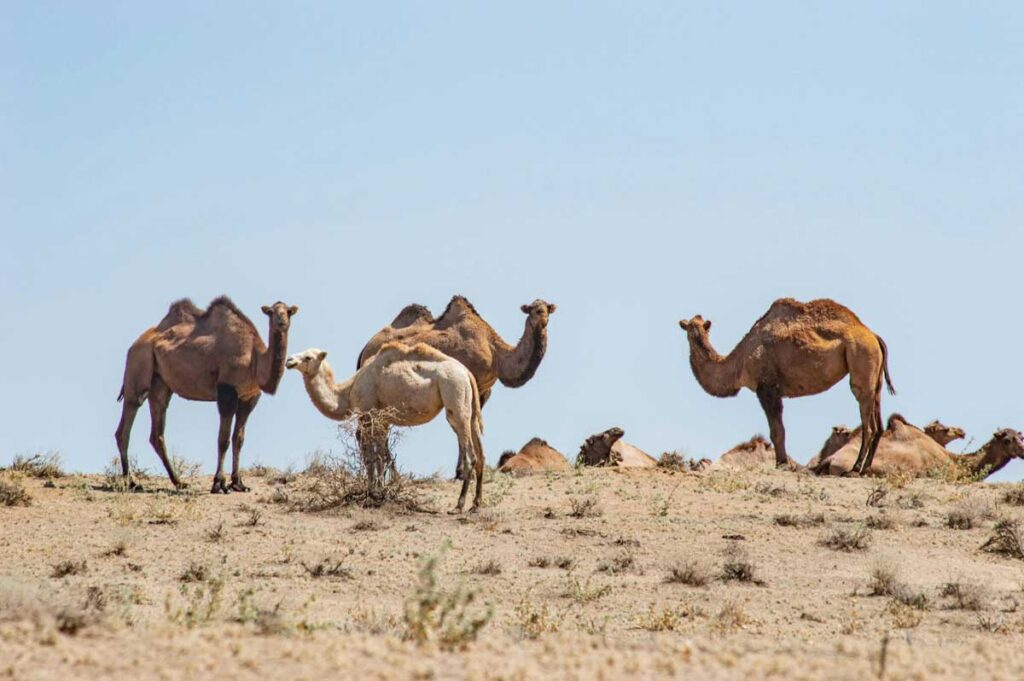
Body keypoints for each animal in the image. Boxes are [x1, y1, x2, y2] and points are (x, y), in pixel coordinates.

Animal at [115, 296, 296, 493]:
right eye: (271, 312)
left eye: (288, 312)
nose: (281, 321)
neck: (254, 358)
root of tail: (134, 344)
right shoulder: (226, 390)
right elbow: (223, 440)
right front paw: (219, 483)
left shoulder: (249, 397)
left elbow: (238, 439)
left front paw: (238, 483)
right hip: (138, 365)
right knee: (127, 421)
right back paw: (132, 482)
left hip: (160, 384)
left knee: (157, 429)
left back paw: (178, 482)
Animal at [285, 343, 485, 512]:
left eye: (308, 357)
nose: (289, 361)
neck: (347, 391)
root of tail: (466, 372)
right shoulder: (383, 420)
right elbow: (382, 455)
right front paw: (381, 490)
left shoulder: (368, 415)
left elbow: (371, 456)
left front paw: (373, 493)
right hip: (468, 406)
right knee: (480, 452)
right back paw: (475, 505)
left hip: (454, 394)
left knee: (470, 455)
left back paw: (459, 505)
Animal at [679, 298, 894, 474]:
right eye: (689, 328)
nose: (690, 330)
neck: (739, 363)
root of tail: (873, 335)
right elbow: (778, 430)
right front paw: (783, 463)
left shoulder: (767, 389)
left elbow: (777, 431)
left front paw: (781, 464)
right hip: (875, 377)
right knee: (878, 420)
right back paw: (866, 468)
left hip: (861, 358)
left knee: (868, 421)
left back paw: (855, 468)